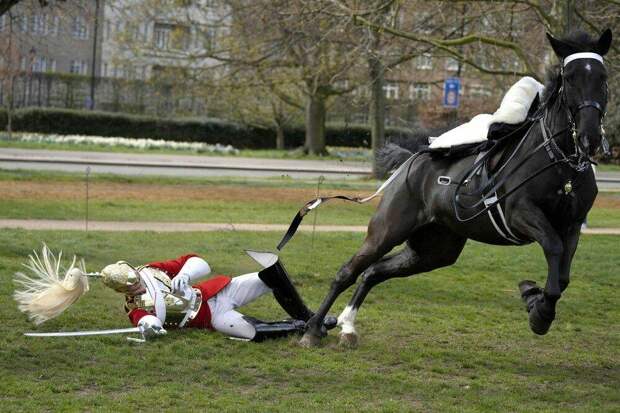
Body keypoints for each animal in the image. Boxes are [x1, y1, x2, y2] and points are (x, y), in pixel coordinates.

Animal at [300, 29, 616, 346]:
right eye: (570, 78)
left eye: (603, 77)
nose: (589, 137)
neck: (560, 162)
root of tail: (411, 161)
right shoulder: (521, 214)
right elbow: (552, 248)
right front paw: (538, 310)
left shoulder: (572, 225)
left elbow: (561, 277)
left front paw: (534, 298)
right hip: (387, 230)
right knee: (348, 272)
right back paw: (313, 329)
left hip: (434, 249)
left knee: (374, 272)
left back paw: (348, 326)